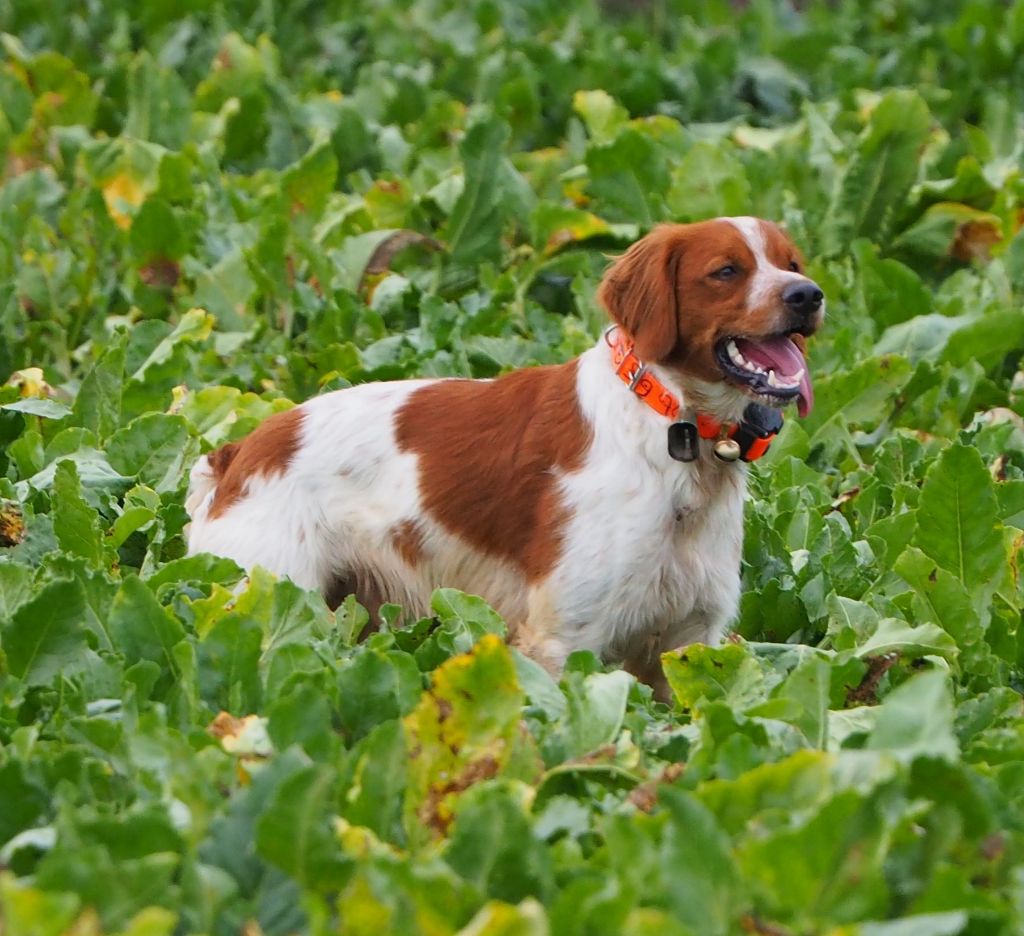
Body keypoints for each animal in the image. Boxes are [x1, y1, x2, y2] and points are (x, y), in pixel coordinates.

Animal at [186, 217, 823, 684]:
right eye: (726, 271)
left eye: (792, 264)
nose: (808, 296)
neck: (673, 424)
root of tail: (241, 450)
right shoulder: (563, 638)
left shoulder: (689, 642)